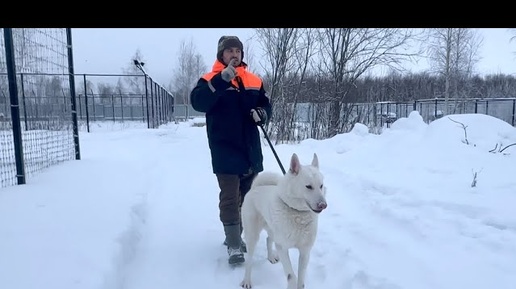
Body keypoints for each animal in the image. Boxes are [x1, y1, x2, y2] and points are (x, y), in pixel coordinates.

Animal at [241, 152, 328, 286]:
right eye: (308, 186)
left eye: (321, 186)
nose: (323, 205)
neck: (298, 213)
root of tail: (255, 188)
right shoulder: (282, 248)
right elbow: (291, 276)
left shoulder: (305, 251)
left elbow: (301, 279)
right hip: (252, 236)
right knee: (249, 260)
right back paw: (246, 281)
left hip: (272, 230)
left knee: (268, 239)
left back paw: (271, 257)